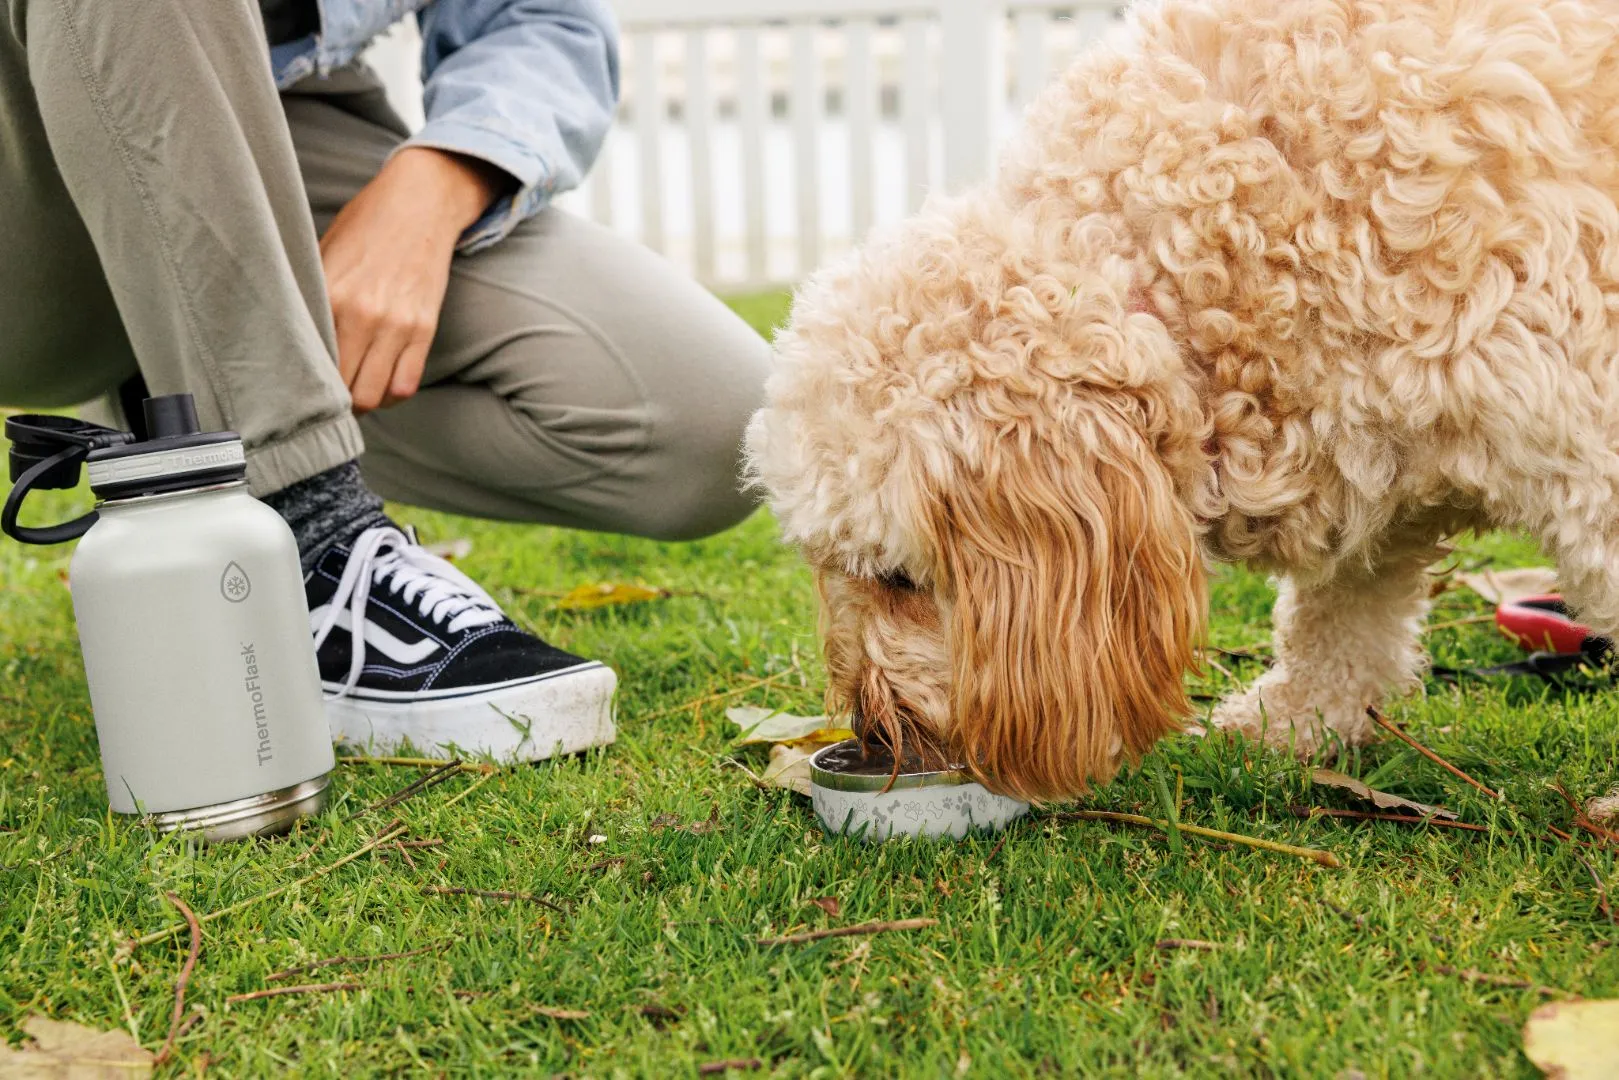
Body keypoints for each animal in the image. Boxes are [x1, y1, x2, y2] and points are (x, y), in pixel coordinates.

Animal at [741, 0, 1619, 799]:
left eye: (899, 580)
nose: (870, 728)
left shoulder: (1590, 446)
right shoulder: (1375, 439)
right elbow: (1342, 607)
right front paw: (1295, 719)